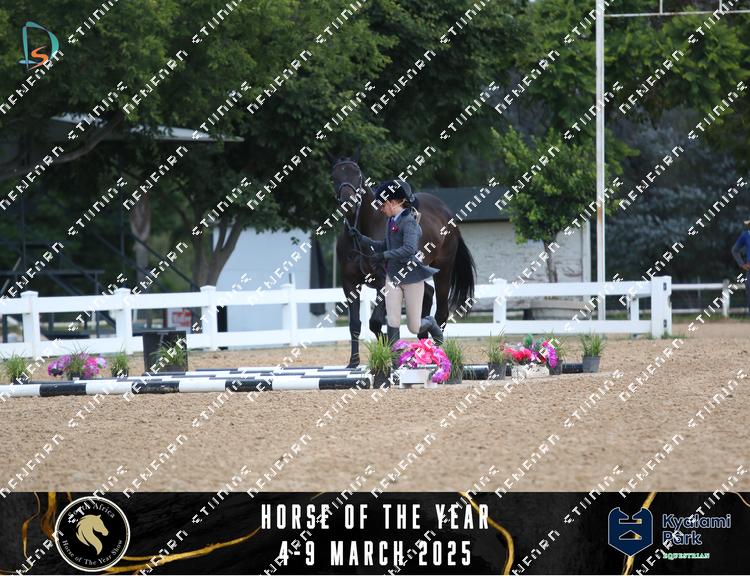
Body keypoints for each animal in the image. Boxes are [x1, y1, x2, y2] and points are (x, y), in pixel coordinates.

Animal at [330, 150, 476, 368]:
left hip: (443, 270)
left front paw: (389, 351)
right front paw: (353, 363)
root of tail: (447, 213)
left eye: (358, 174)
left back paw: (437, 349)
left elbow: (376, 322)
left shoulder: (384, 282)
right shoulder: (350, 283)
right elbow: (356, 324)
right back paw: (424, 341)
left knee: (441, 312)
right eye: (334, 177)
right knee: (427, 296)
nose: (349, 204)